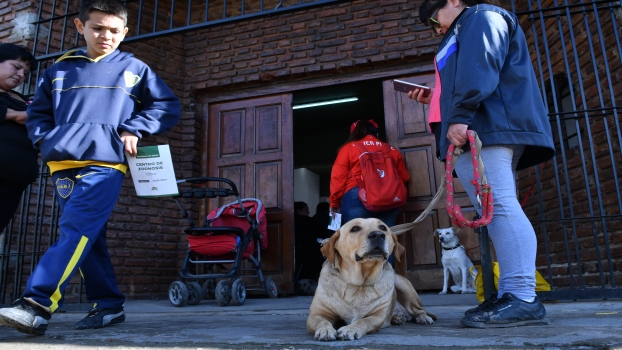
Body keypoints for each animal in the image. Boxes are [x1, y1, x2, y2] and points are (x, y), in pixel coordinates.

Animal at [308, 217, 436, 340]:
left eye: (383, 227)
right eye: (355, 228)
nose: (378, 235)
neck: (359, 284)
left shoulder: (377, 316)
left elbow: (363, 321)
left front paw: (350, 329)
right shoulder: (317, 314)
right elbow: (322, 321)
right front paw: (325, 330)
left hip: (402, 284)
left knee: (418, 309)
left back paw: (422, 317)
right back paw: (398, 317)